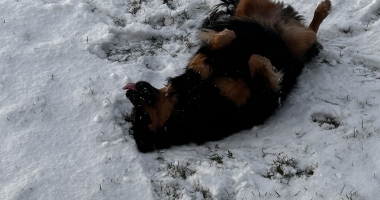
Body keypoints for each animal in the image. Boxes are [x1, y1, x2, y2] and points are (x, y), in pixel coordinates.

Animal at [123, 0, 332, 152]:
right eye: (140, 116)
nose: (128, 92)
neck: (189, 99)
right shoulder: (261, 97)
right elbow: (256, 60)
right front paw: (272, 67)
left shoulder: (201, 62)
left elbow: (225, 39)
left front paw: (226, 34)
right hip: (297, 45)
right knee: (310, 34)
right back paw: (322, 10)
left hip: (249, 10)